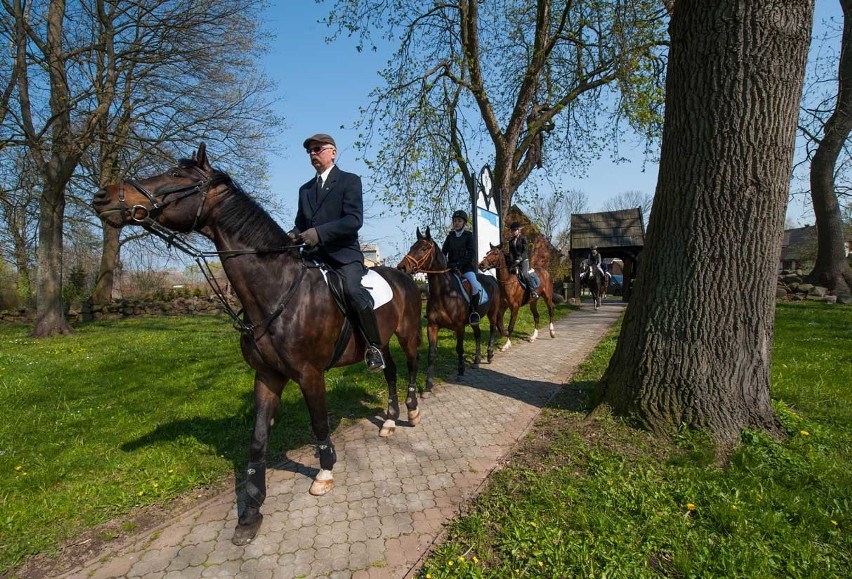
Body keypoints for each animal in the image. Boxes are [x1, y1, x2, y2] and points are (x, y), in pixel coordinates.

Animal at [91, 143, 424, 548]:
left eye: (175, 175)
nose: (104, 196)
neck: (277, 290)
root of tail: (404, 275)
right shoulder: (267, 376)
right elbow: (258, 440)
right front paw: (250, 511)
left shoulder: (310, 374)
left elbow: (318, 424)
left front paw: (325, 473)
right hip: (382, 342)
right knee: (388, 371)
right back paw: (389, 422)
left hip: (407, 335)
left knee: (409, 368)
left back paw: (411, 412)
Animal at [396, 229, 502, 396]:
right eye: (412, 246)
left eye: (424, 248)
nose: (402, 267)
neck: (444, 292)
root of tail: (492, 280)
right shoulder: (432, 326)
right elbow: (431, 354)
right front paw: (428, 385)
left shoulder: (459, 327)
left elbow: (459, 349)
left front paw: (460, 372)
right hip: (475, 320)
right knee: (478, 335)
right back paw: (477, 359)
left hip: (492, 313)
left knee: (492, 330)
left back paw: (489, 354)